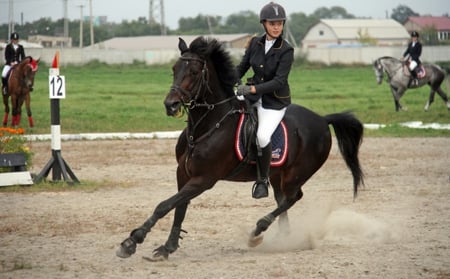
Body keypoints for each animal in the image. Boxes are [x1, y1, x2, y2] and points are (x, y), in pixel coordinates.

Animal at [117, 36, 366, 262]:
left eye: (195, 72)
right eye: (174, 69)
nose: (171, 105)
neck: (205, 127)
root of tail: (323, 120)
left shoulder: (204, 179)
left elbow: (164, 205)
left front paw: (132, 241)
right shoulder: (184, 174)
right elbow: (179, 208)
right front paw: (167, 247)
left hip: (297, 174)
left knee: (292, 197)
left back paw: (257, 231)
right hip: (276, 174)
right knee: (282, 200)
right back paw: (280, 238)